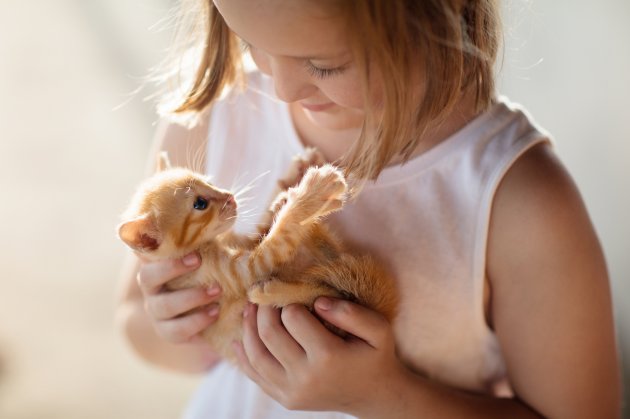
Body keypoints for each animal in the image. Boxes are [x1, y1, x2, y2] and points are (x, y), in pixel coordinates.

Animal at [116, 149, 398, 362]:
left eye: (209, 180)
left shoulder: (250, 243)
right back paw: (272, 291)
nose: (230, 196)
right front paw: (308, 198)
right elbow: (280, 236)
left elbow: (266, 228)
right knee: (330, 296)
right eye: (200, 204)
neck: (206, 246)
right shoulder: (241, 270)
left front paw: (293, 178)